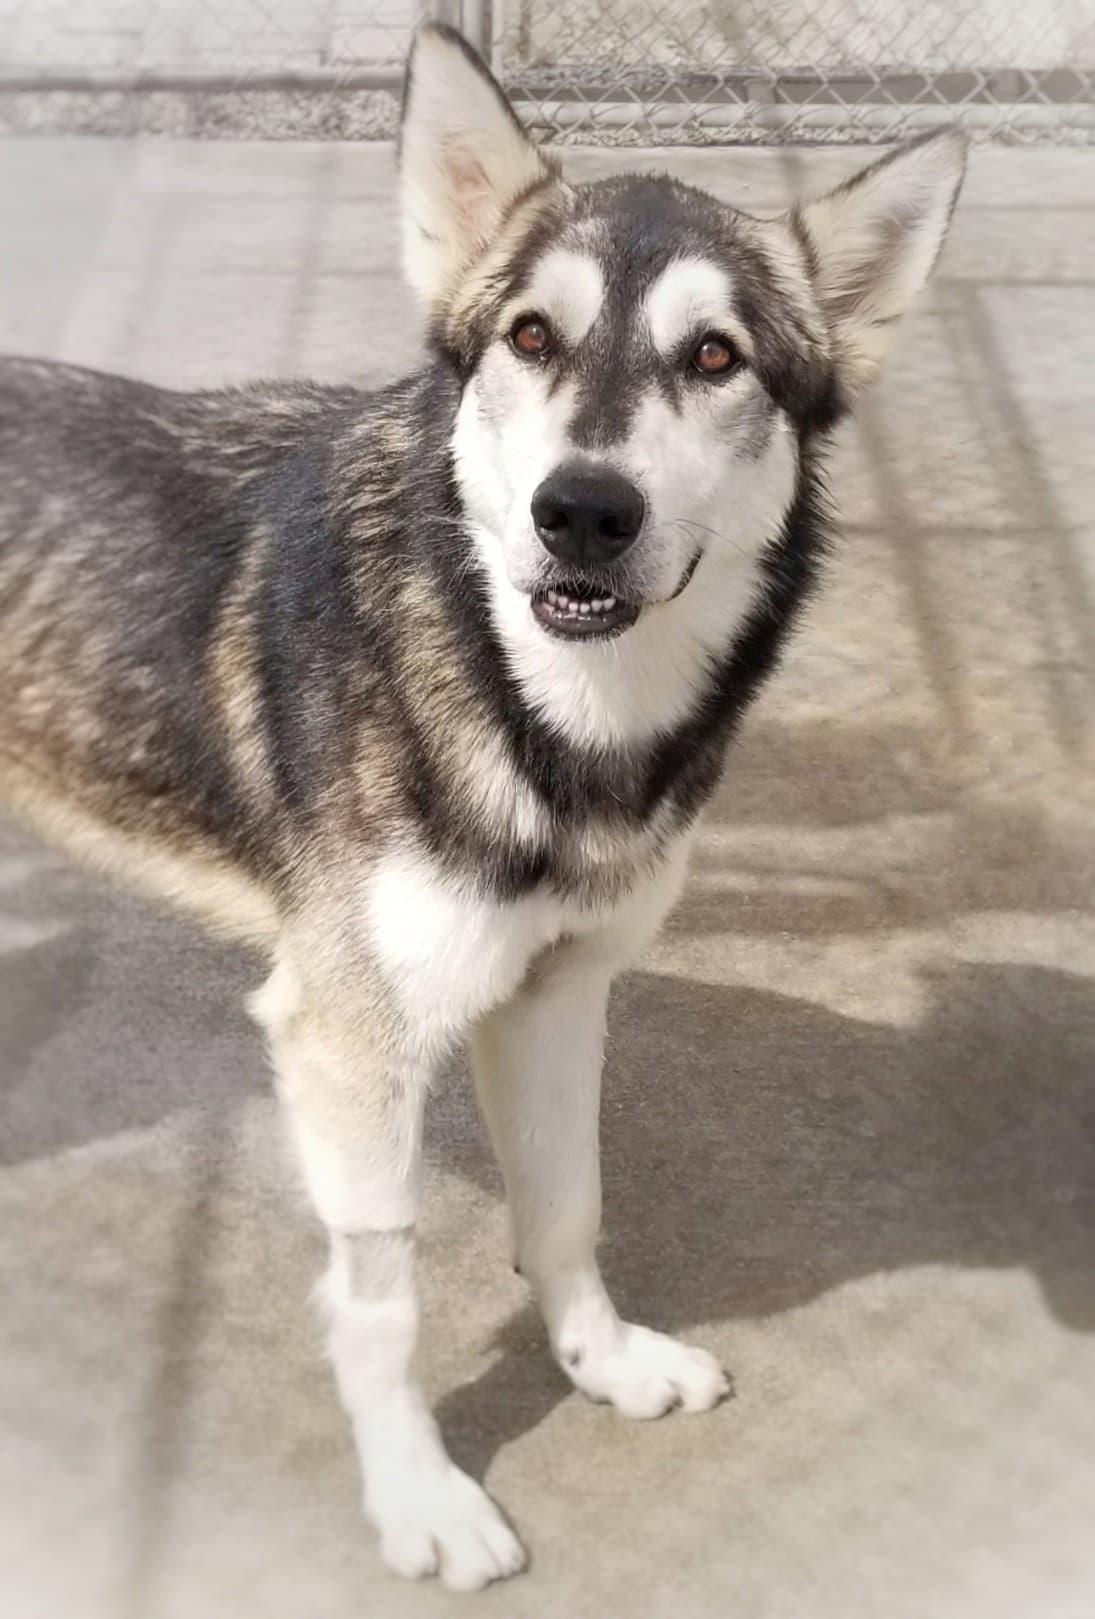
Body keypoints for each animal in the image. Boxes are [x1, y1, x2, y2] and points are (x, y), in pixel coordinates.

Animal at [0, 23, 965, 1591]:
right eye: (528, 337)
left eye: (714, 356)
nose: (583, 510)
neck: (537, 706)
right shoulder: (349, 1043)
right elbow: (381, 1300)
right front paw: (418, 1496)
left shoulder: (559, 993)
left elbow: (568, 1203)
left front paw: (602, 1361)